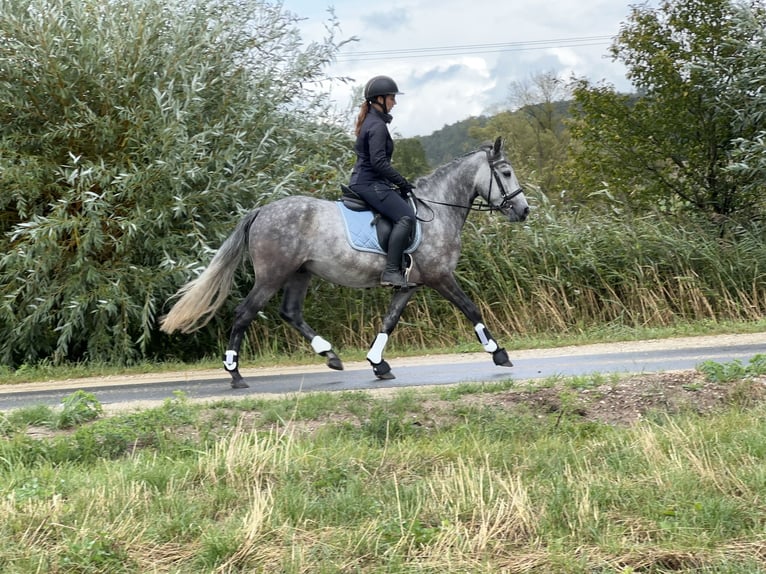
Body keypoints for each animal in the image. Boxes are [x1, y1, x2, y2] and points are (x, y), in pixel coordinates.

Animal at [160, 138, 536, 392]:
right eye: (505, 172)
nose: (524, 211)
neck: (438, 210)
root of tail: (261, 211)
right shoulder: (440, 276)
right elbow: (471, 308)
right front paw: (499, 353)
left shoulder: (409, 284)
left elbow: (389, 321)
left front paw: (378, 364)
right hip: (272, 276)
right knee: (244, 314)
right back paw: (235, 374)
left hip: (300, 274)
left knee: (291, 312)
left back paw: (330, 356)